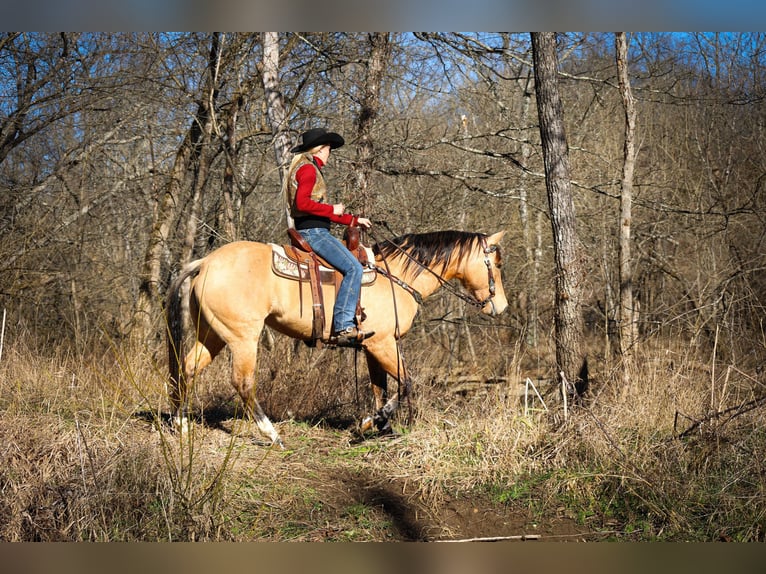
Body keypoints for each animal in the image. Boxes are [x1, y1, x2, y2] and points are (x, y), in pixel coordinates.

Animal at [165, 230, 508, 450]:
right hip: (243, 338)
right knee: (243, 383)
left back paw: (181, 424)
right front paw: (373, 422)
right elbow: (406, 383)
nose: (501, 307)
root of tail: (204, 263)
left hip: (212, 334)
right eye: (496, 265)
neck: (397, 277)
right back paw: (272, 434)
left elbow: (380, 387)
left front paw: (382, 427)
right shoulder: (384, 344)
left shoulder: (373, 346)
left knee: (187, 368)